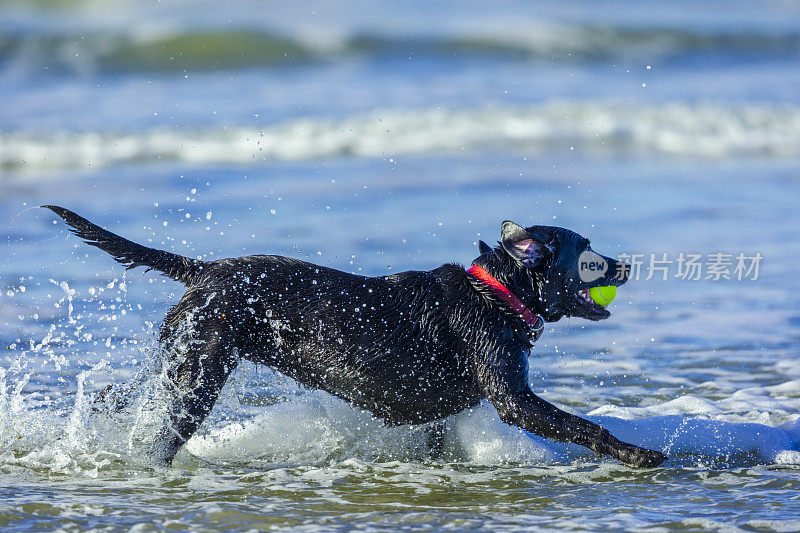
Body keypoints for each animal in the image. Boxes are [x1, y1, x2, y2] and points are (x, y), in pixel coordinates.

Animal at [45, 206, 668, 468]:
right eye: (587, 250)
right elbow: (584, 426)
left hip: (176, 359)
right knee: (159, 433)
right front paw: (635, 453)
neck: (498, 293)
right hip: (198, 375)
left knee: (118, 398)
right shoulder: (514, 400)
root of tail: (207, 270)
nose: (626, 266)